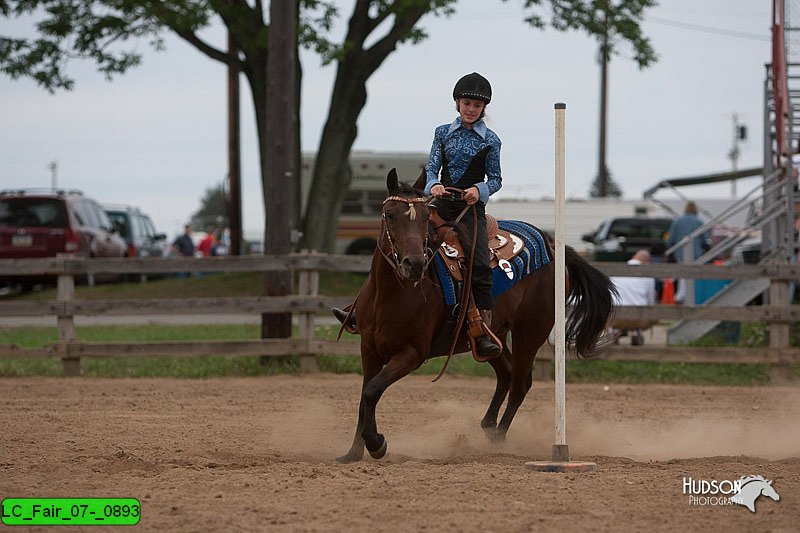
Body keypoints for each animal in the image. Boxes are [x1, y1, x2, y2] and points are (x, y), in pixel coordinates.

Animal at [336, 169, 612, 462]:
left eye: (424, 217)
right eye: (389, 215)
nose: (415, 264)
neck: (390, 293)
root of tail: (551, 245)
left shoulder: (412, 353)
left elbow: (372, 390)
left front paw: (376, 443)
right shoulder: (369, 349)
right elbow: (365, 395)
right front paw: (353, 452)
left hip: (530, 332)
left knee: (520, 383)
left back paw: (499, 438)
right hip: (493, 336)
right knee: (506, 372)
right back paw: (488, 426)